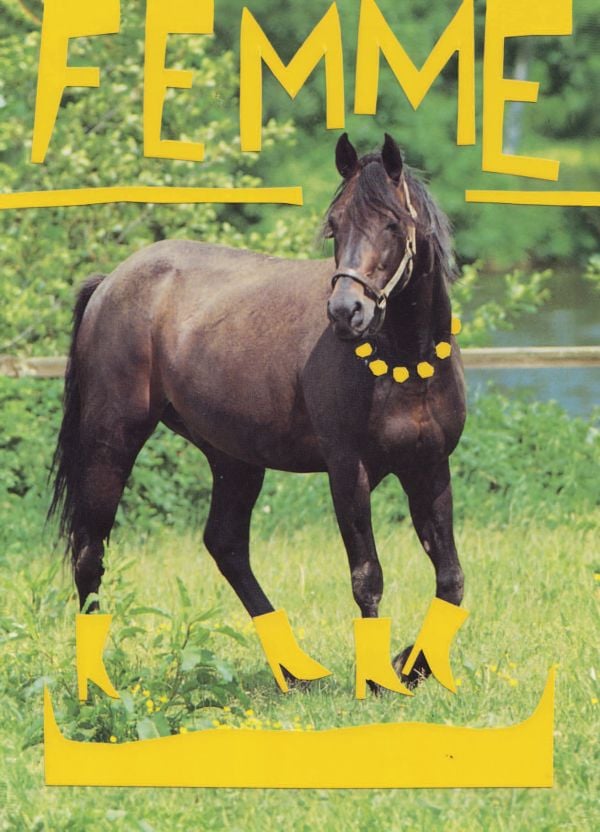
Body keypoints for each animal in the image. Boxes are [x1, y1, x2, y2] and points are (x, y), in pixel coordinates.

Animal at [49, 133, 466, 694]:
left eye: (393, 225)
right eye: (335, 225)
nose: (345, 313)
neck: (404, 363)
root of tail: (111, 281)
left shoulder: (429, 467)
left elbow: (450, 578)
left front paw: (411, 665)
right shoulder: (348, 471)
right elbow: (368, 576)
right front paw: (379, 678)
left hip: (234, 459)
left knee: (224, 545)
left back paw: (296, 669)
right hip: (110, 441)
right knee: (90, 554)